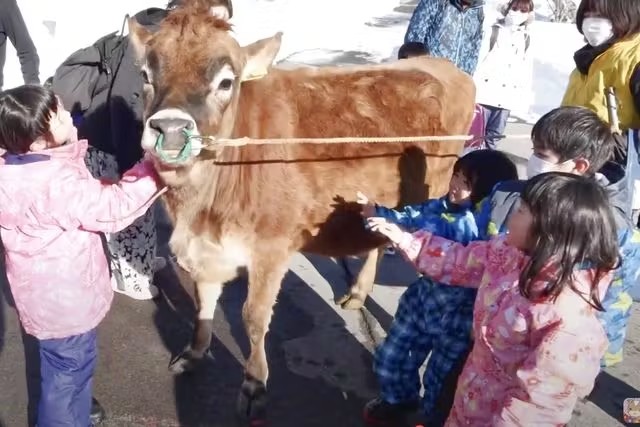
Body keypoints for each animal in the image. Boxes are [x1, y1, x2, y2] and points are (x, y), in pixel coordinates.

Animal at [126, 4, 476, 424]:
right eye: (145, 74)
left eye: (227, 82)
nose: (172, 128)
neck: (202, 206)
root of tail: (440, 64)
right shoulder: (204, 248)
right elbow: (203, 301)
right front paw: (193, 353)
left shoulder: (272, 247)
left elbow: (254, 316)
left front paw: (254, 386)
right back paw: (358, 292)